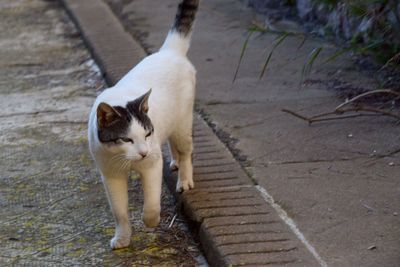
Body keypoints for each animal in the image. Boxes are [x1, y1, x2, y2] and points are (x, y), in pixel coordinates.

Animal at [88, 0, 199, 251]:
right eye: (126, 139)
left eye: (147, 134)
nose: (143, 152)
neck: (125, 159)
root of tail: (169, 51)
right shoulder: (111, 175)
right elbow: (119, 212)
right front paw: (122, 238)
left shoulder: (152, 164)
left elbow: (151, 203)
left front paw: (150, 221)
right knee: (174, 145)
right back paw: (175, 162)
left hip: (182, 123)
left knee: (187, 150)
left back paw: (185, 179)